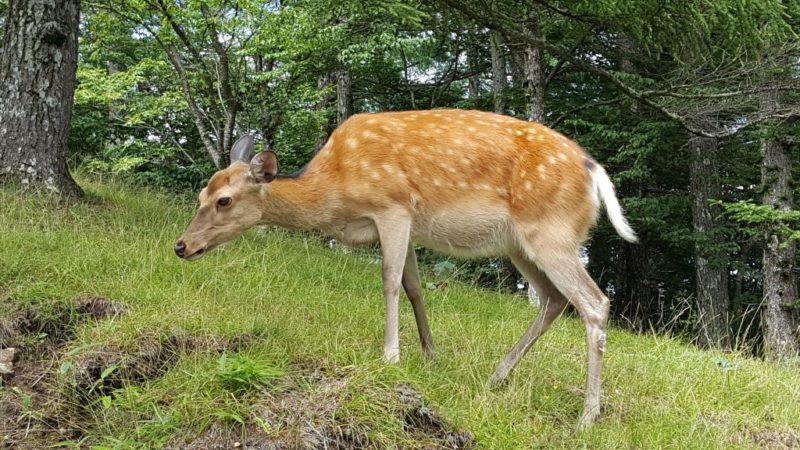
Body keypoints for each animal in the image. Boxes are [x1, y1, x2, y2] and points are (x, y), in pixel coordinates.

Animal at [175, 109, 636, 428]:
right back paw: (496, 377)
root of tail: (595, 172)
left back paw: (587, 416)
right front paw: (431, 355)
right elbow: (415, 287)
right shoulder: (409, 225)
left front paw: (391, 356)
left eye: (224, 200)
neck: (336, 192)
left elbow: (390, 281)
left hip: (552, 232)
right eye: (202, 193)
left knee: (594, 302)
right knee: (554, 300)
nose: (182, 246)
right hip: (522, 244)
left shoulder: (392, 206)